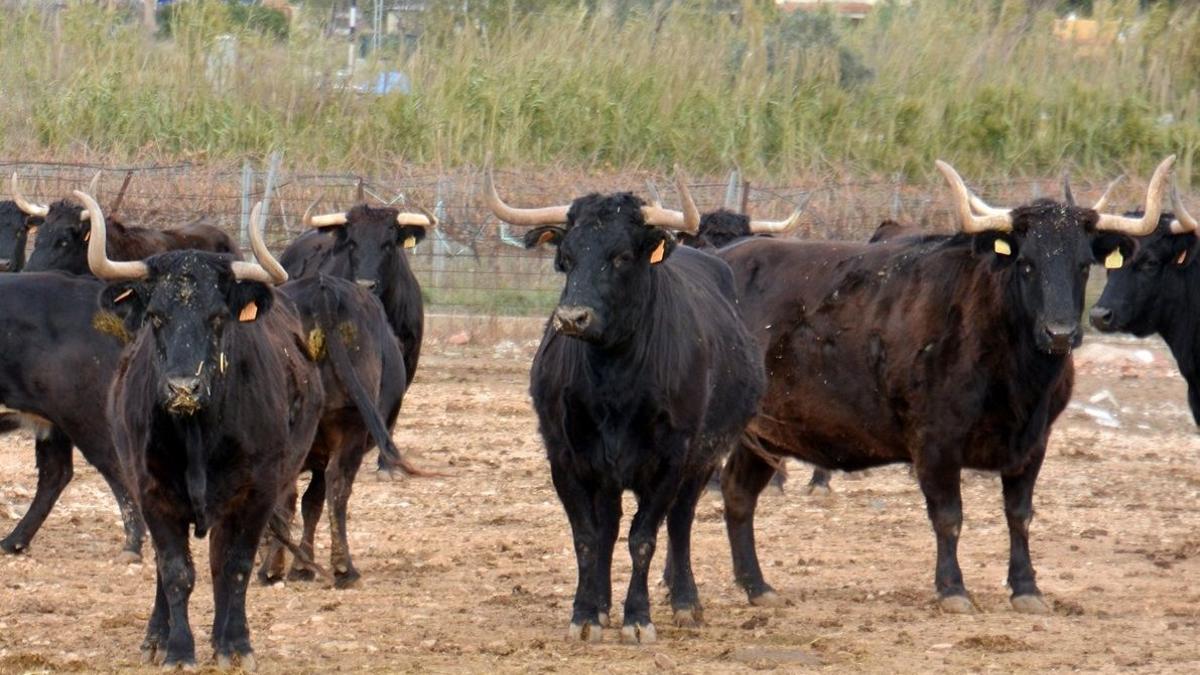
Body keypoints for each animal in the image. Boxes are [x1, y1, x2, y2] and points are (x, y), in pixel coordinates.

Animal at [0, 272, 144, 560]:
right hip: (53, 423)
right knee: (55, 473)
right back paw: (13, 541)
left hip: (86, 415)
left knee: (115, 467)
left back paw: (132, 546)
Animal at [81, 191, 325, 670]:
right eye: (156, 317)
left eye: (217, 318)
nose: (183, 387)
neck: (197, 434)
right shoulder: (151, 491)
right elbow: (175, 571)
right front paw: (178, 649)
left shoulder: (259, 492)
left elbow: (235, 567)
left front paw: (236, 646)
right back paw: (157, 638)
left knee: (219, 564)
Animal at [486, 172, 766, 644]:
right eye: (565, 257)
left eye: (620, 257)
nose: (572, 318)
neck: (614, 385)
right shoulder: (566, 458)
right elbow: (588, 536)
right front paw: (585, 614)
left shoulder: (672, 460)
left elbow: (644, 537)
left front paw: (638, 617)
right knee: (610, 526)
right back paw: (602, 605)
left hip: (703, 460)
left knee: (681, 522)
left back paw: (686, 602)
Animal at [712, 156, 1175, 614]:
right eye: (1027, 263)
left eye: (1083, 265)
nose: (1060, 333)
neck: (1017, 378)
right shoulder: (935, 441)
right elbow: (949, 516)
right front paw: (953, 588)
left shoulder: (1034, 444)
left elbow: (1019, 514)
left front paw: (1026, 587)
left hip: (764, 437)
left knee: (737, 494)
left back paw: (757, 586)